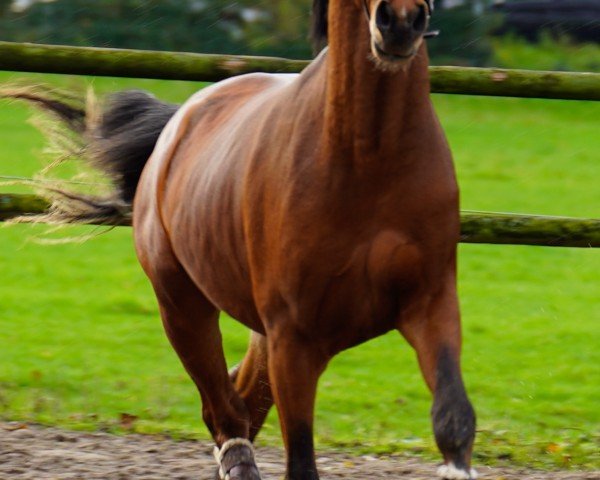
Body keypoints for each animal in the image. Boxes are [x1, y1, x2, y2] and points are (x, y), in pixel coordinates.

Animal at [2, 0, 476, 476]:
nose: (399, 23)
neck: (368, 158)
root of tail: (178, 123)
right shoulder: (293, 338)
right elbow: (299, 459)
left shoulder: (431, 303)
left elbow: (453, 417)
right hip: (182, 306)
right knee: (224, 411)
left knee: (242, 402)